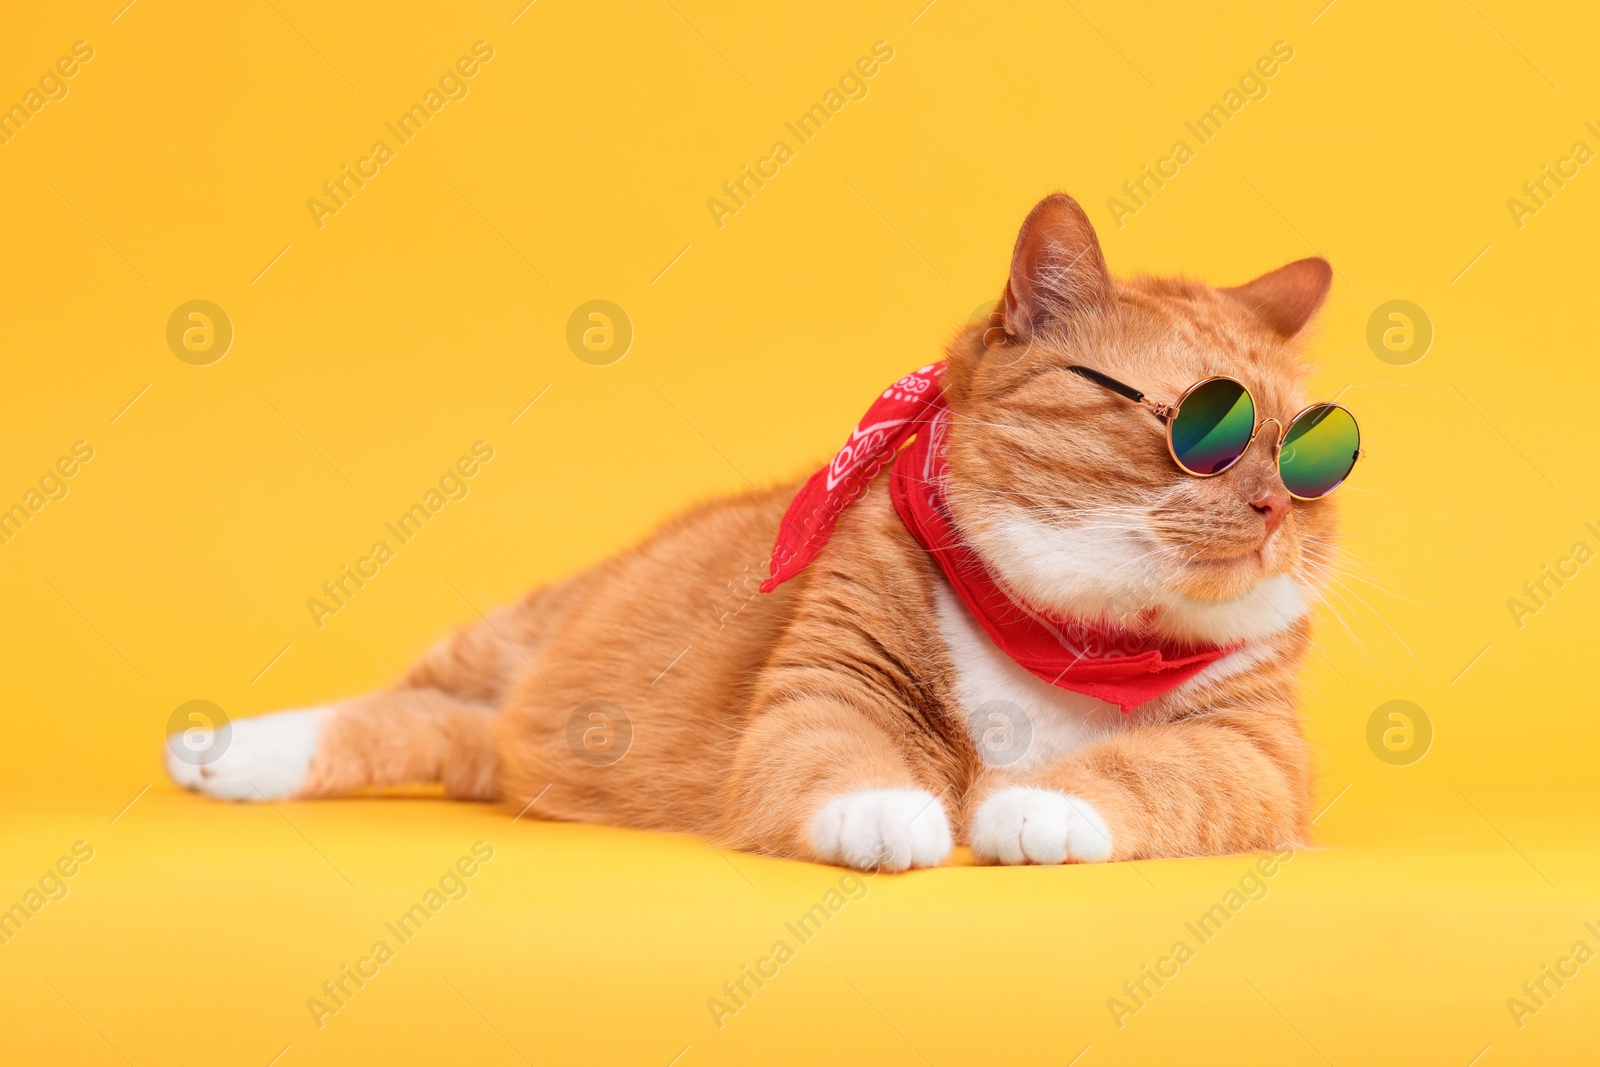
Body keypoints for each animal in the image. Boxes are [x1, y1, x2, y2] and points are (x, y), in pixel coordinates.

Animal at [165, 195, 1337, 870]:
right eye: (1206, 431)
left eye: (1314, 455)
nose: (1276, 506)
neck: (1074, 631)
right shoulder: (824, 687)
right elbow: (841, 753)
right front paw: (891, 811)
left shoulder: (1254, 751)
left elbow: (1157, 770)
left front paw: (1037, 804)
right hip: (508, 633)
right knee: (395, 699)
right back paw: (225, 750)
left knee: (423, 725)